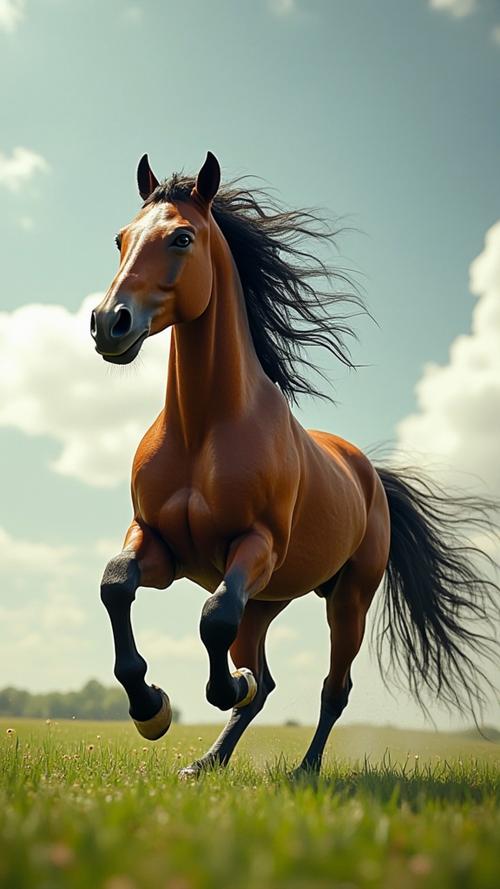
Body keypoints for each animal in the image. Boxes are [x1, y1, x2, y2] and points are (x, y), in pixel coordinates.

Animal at [91, 152, 498, 776]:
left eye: (181, 237)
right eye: (121, 239)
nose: (109, 323)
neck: (203, 429)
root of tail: (370, 475)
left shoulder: (254, 546)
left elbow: (213, 619)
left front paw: (223, 688)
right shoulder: (161, 545)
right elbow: (116, 585)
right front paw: (149, 708)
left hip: (347, 600)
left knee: (332, 687)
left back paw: (304, 767)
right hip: (267, 601)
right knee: (264, 675)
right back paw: (207, 762)